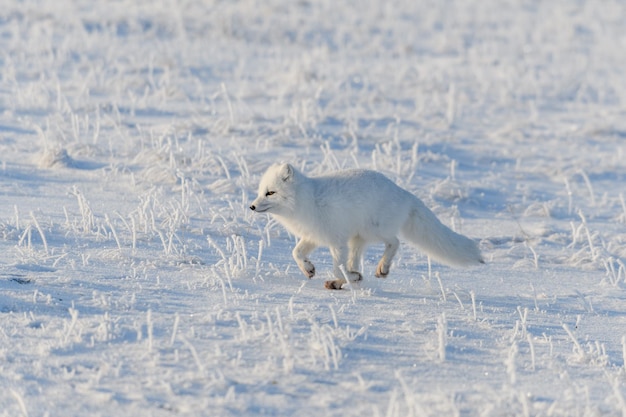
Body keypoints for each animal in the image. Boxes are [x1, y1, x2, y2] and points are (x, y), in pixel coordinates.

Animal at [249, 163, 482, 290]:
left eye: (271, 193)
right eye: (260, 192)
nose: (251, 206)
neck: (308, 201)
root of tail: (404, 193)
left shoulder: (337, 241)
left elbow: (337, 266)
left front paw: (348, 276)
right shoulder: (313, 237)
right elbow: (296, 252)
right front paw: (308, 269)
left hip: (373, 230)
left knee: (395, 242)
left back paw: (381, 269)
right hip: (358, 240)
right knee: (356, 261)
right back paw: (342, 281)